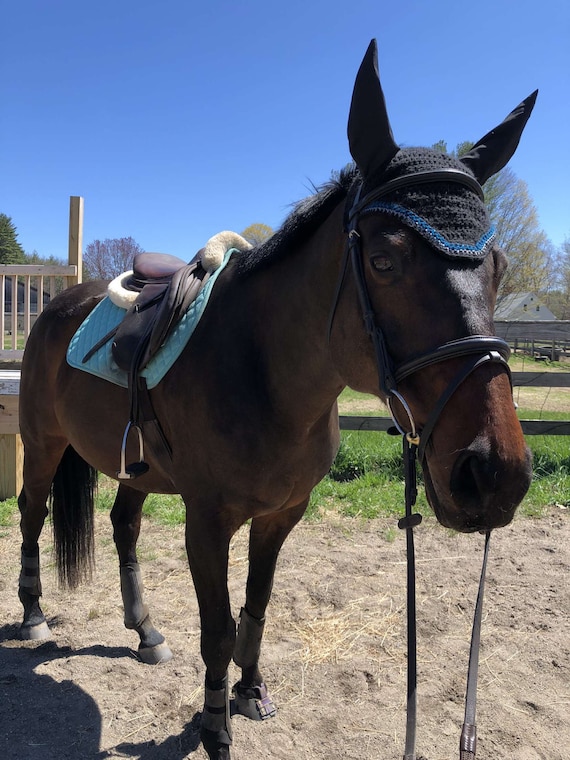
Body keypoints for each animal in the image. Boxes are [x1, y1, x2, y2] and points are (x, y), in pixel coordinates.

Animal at [16, 41, 532, 760]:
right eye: (384, 261)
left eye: (499, 265)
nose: (494, 473)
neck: (266, 377)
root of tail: (56, 304)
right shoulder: (207, 522)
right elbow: (217, 627)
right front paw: (213, 727)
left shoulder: (283, 513)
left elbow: (255, 608)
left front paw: (250, 693)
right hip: (43, 443)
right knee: (32, 515)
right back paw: (34, 616)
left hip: (133, 469)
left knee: (123, 526)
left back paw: (145, 632)